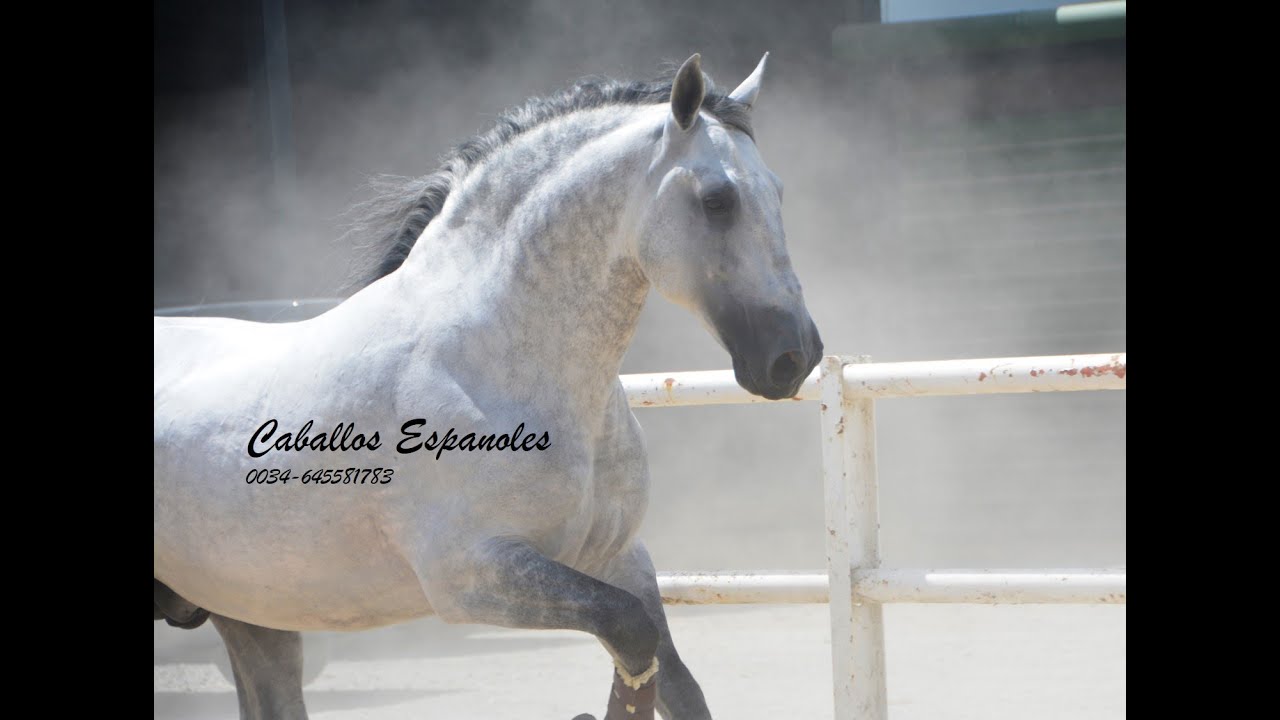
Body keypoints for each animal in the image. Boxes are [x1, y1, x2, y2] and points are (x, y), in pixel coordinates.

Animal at [154, 53, 823, 720]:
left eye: (778, 192)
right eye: (718, 200)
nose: (796, 357)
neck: (495, 361)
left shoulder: (617, 557)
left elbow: (676, 681)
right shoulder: (473, 576)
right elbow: (629, 632)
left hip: (251, 614)